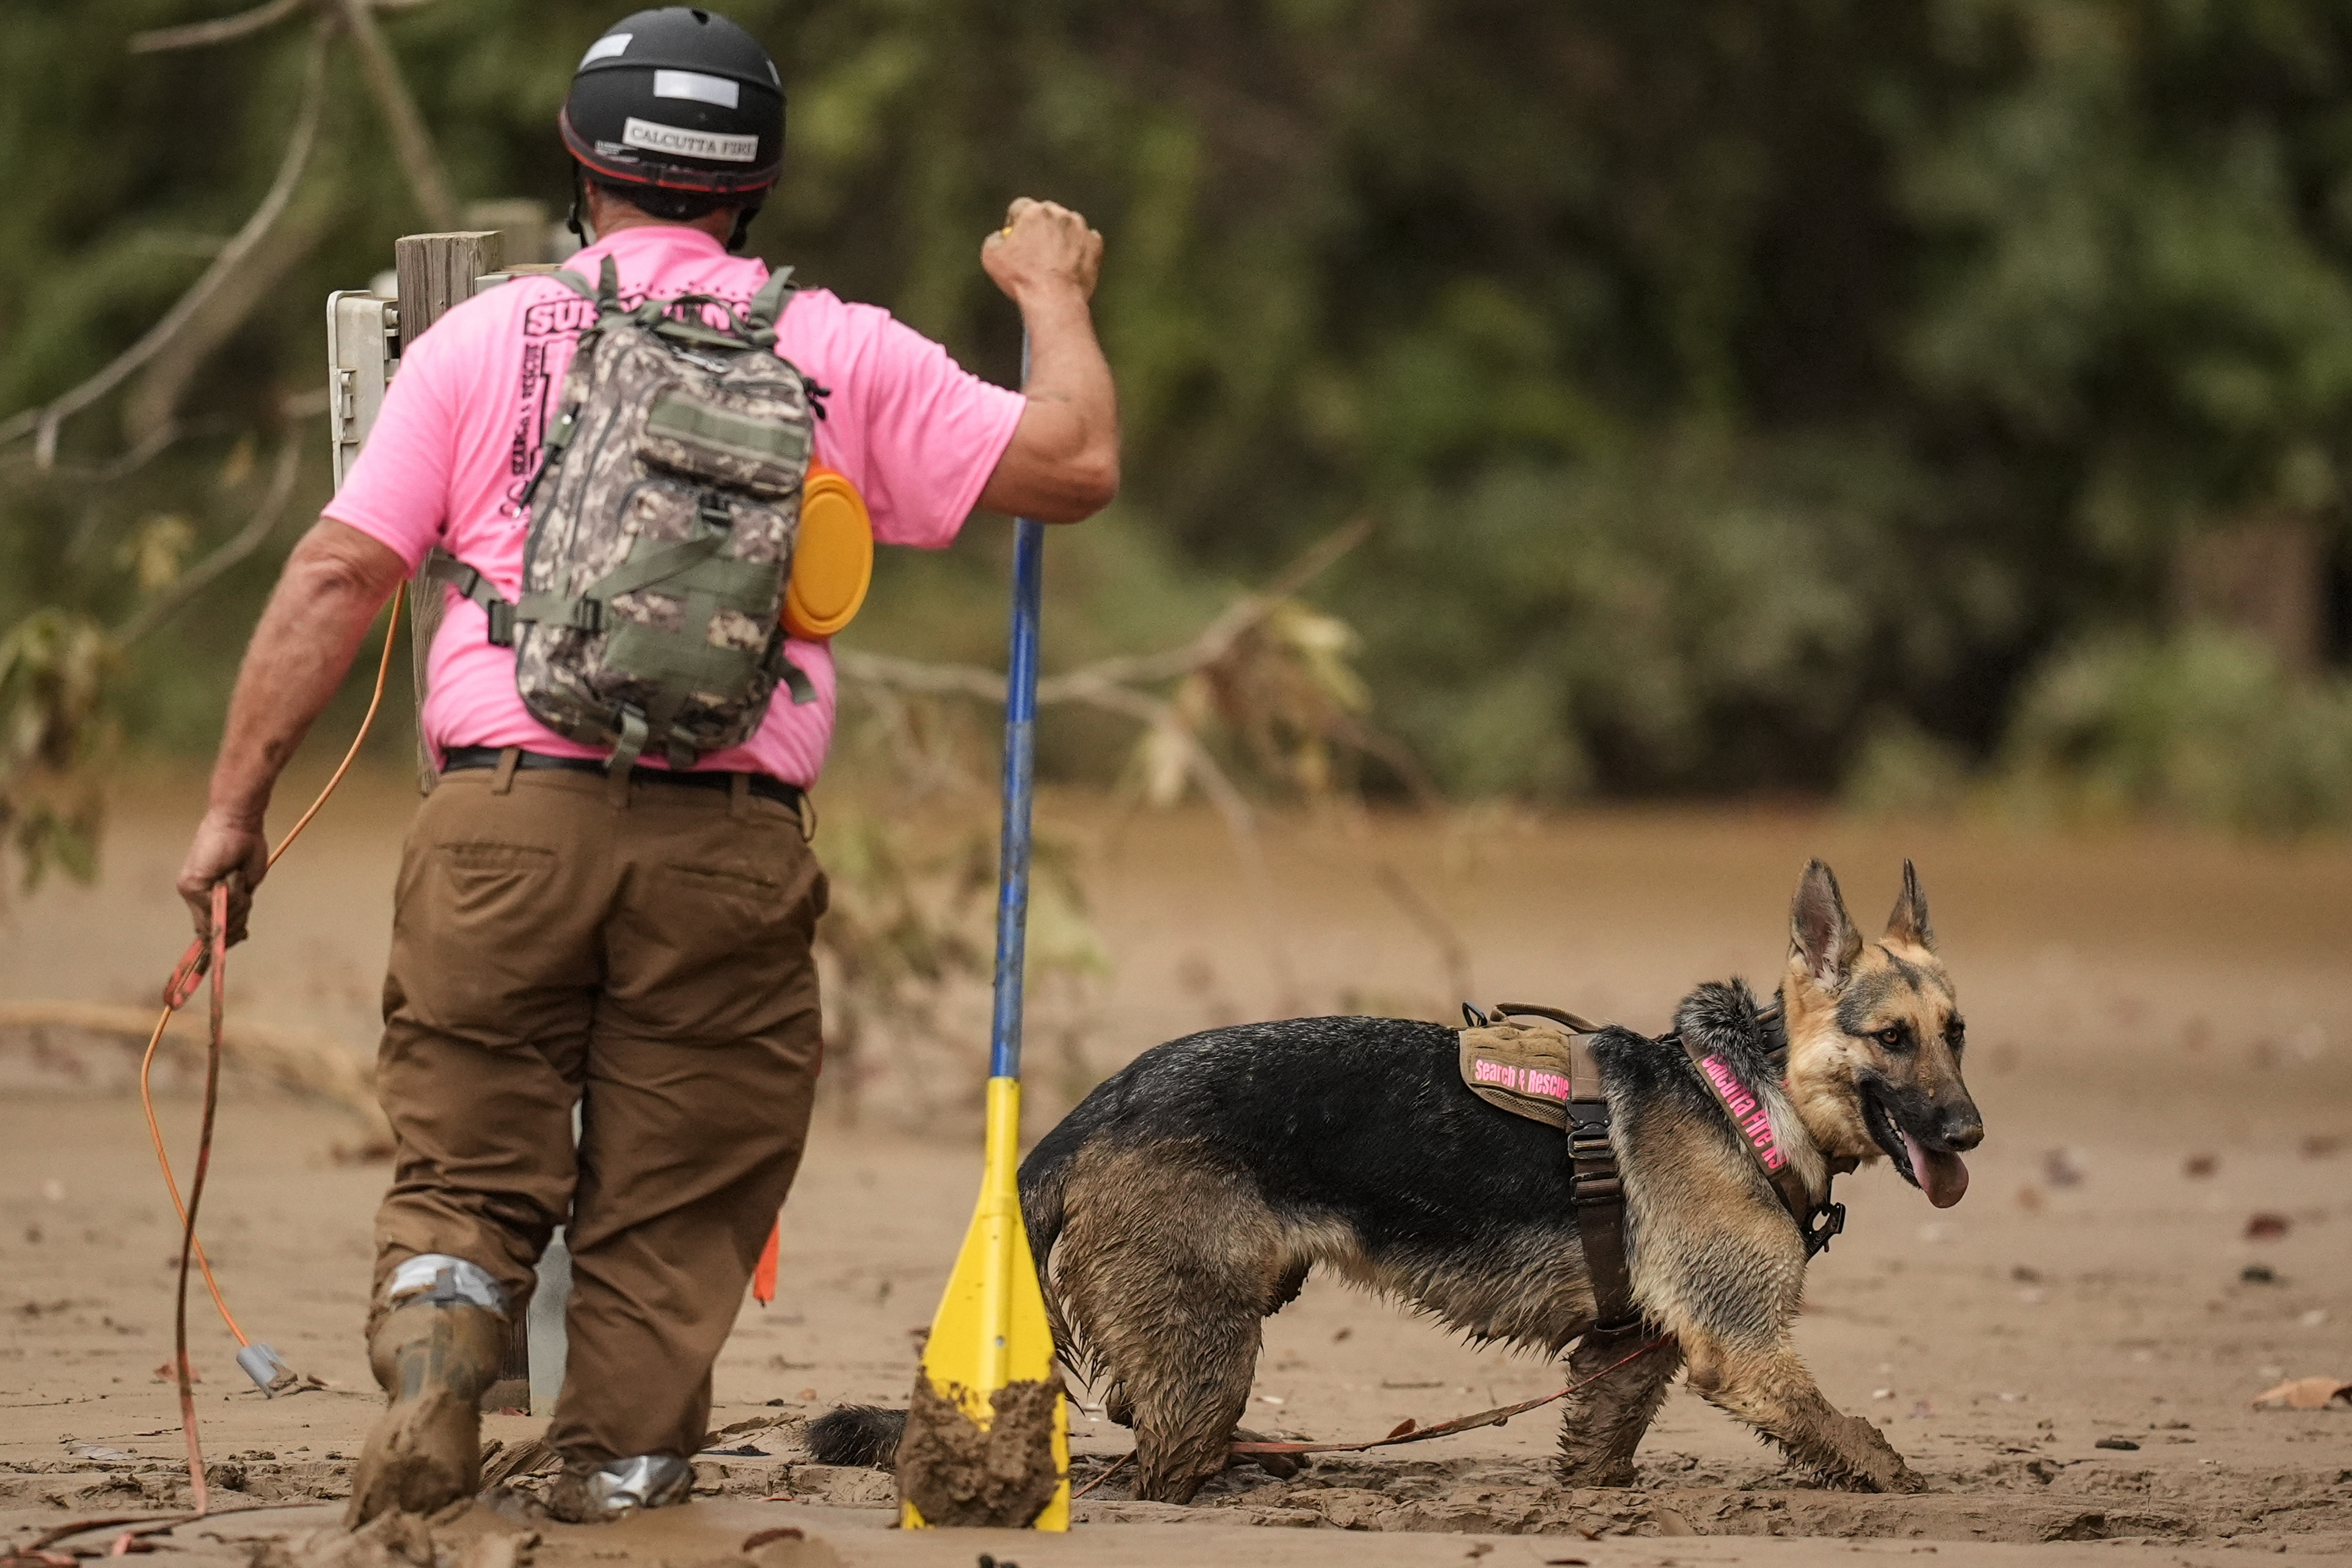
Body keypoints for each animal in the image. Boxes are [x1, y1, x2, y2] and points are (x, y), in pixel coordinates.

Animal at [814, 865, 1985, 1504]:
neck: (1749, 1090)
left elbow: (1599, 1446)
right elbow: (1857, 1436)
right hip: (1210, 1350)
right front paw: (1913, 1490)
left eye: (1957, 1032)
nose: (1971, 1130)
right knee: (1151, 1462)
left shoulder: (1628, 1354)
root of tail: (1096, 1104)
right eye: (1891, 1037)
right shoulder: (1742, 1353)